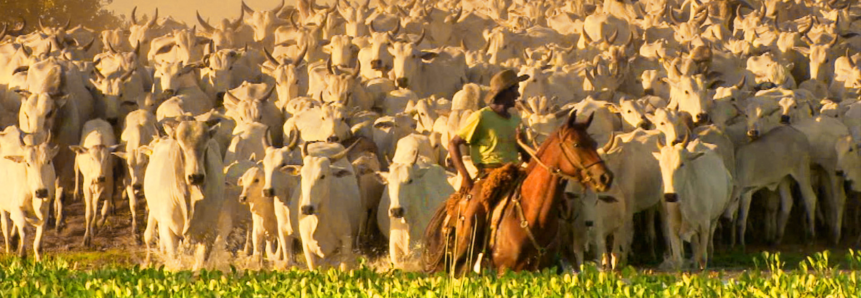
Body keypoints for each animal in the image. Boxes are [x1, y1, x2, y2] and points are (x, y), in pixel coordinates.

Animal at [422, 110, 612, 274]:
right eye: (576, 144)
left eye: (594, 143)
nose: (605, 177)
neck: (534, 216)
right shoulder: (506, 270)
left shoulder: (543, 269)